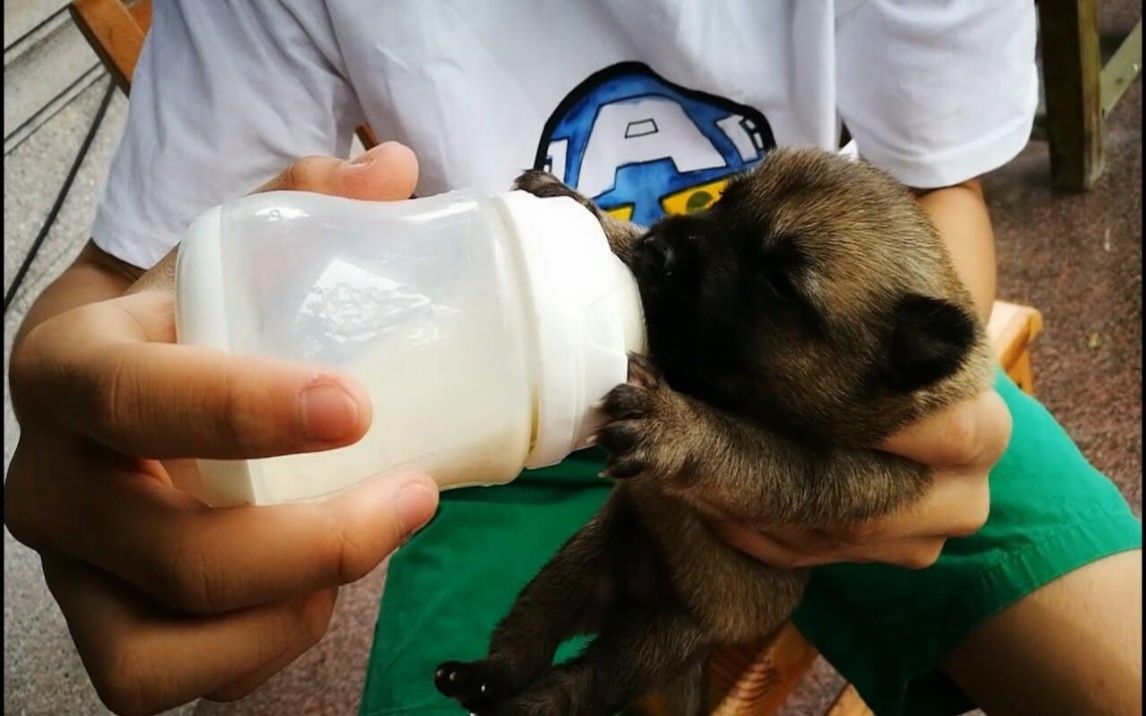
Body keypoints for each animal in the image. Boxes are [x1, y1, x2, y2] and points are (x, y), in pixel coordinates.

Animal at [430, 146, 994, 714]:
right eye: (724, 200)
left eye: (778, 285)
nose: (659, 251)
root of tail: (632, 596)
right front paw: (587, 209)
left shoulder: (821, 471)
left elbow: (737, 443)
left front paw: (673, 426)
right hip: (577, 569)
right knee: (530, 632)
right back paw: (483, 677)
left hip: (658, 640)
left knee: (582, 685)